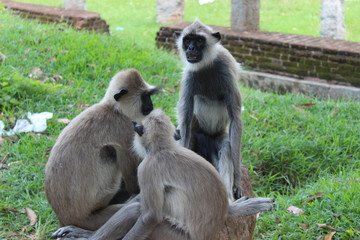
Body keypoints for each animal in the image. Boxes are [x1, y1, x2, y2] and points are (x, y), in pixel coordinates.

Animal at [44, 68, 160, 232]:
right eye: (144, 97)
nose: (151, 105)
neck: (114, 110)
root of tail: (65, 218)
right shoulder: (126, 128)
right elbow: (133, 184)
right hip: (95, 214)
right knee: (109, 152)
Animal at [176, 19, 243, 201]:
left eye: (199, 40)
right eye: (187, 40)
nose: (191, 48)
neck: (206, 65)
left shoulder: (226, 69)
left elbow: (235, 118)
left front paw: (237, 180)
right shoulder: (189, 77)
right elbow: (184, 122)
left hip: (216, 137)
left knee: (226, 148)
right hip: (197, 137)